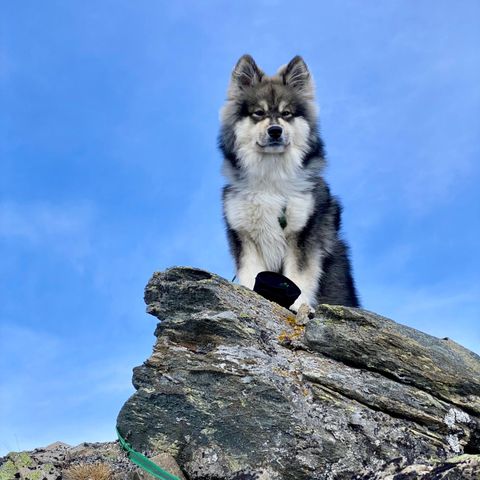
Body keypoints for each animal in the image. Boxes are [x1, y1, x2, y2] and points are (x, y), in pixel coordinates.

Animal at [219, 55, 358, 312]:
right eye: (259, 113)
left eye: (286, 114)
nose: (275, 131)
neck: (271, 181)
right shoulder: (245, 236)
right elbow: (251, 274)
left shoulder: (302, 235)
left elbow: (298, 277)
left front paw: (299, 306)